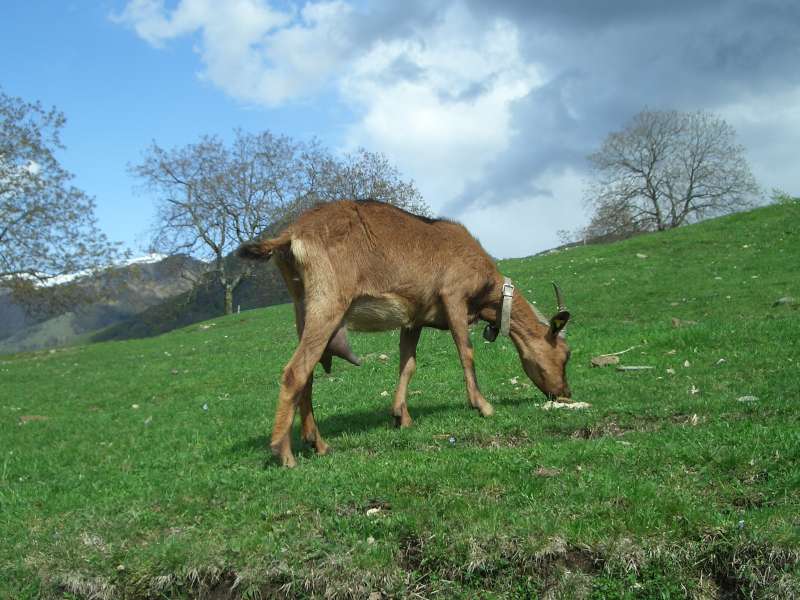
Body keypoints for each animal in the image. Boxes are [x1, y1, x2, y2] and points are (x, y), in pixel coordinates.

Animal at [241, 199, 572, 466]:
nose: (565, 395)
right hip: (328, 301)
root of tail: (291, 235)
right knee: (295, 371)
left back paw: (317, 443)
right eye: (566, 354)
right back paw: (284, 453)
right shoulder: (454, 296)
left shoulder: (414, 319)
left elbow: (407, 364)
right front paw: (483, 405)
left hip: (303, 305)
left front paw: (402, 416)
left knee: (307, 374)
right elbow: (466, 352)